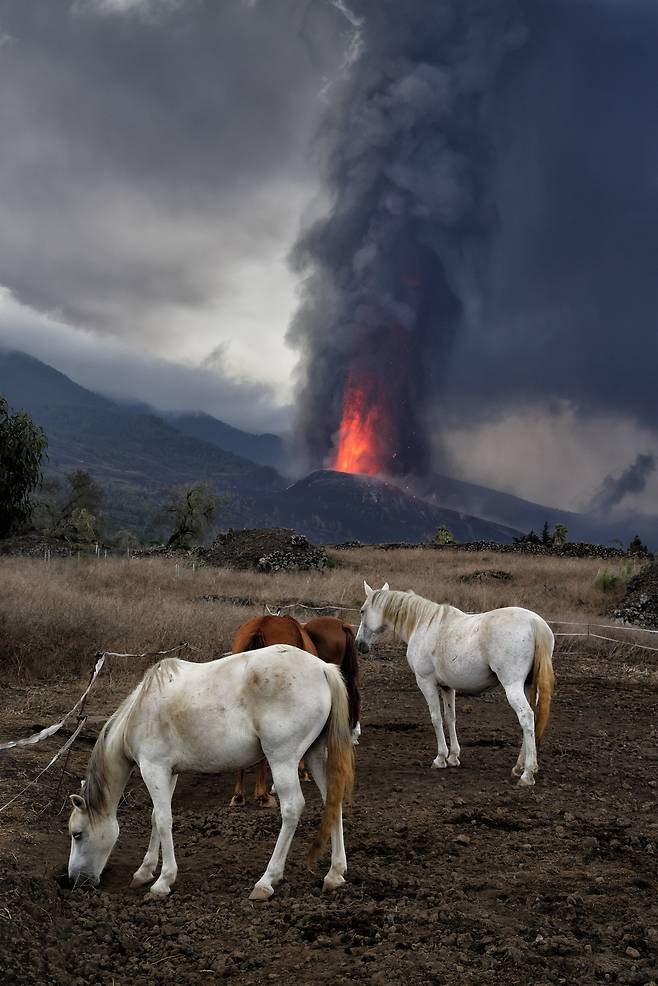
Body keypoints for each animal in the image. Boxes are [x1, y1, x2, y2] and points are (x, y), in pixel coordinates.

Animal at [66, 644, 354, 900]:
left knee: (292, 808)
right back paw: (335, 873)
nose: (75, 881)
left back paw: (266, 881)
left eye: (77, 834)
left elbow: (164, 819)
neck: (140, 711)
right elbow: (155, 817)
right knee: (332, 800)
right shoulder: (168, 772)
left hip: (282, 758)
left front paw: (163, 882)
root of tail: (323, 668)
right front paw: (144, 872)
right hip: (314, 755)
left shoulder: (153, 768)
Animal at [354, 584, 552, 784]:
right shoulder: (447, 687)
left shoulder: (426, 682)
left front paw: (440, 758)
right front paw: (453, 757)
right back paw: (519, 767)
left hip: (513, 686)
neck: (423, 624)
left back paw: (527, 773)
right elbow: (450, 718)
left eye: (362, 611)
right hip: (526, 686)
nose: (359, 644)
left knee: (526, 717)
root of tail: (534, 622)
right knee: (531, 719)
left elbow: (436, 718)